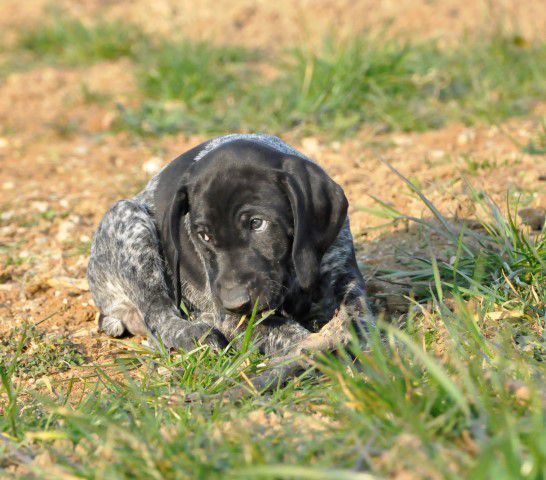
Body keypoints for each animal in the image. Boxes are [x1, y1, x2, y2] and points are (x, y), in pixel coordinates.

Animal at [86, 134, 374, 394]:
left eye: (256, 223)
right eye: (204, 235)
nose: (234, 303)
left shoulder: (343, 272)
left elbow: (358, 313)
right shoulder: (232, 316)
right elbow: (288, 332)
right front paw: (320, 349)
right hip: (129, 220)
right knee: (160, 319)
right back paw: (195, 332)